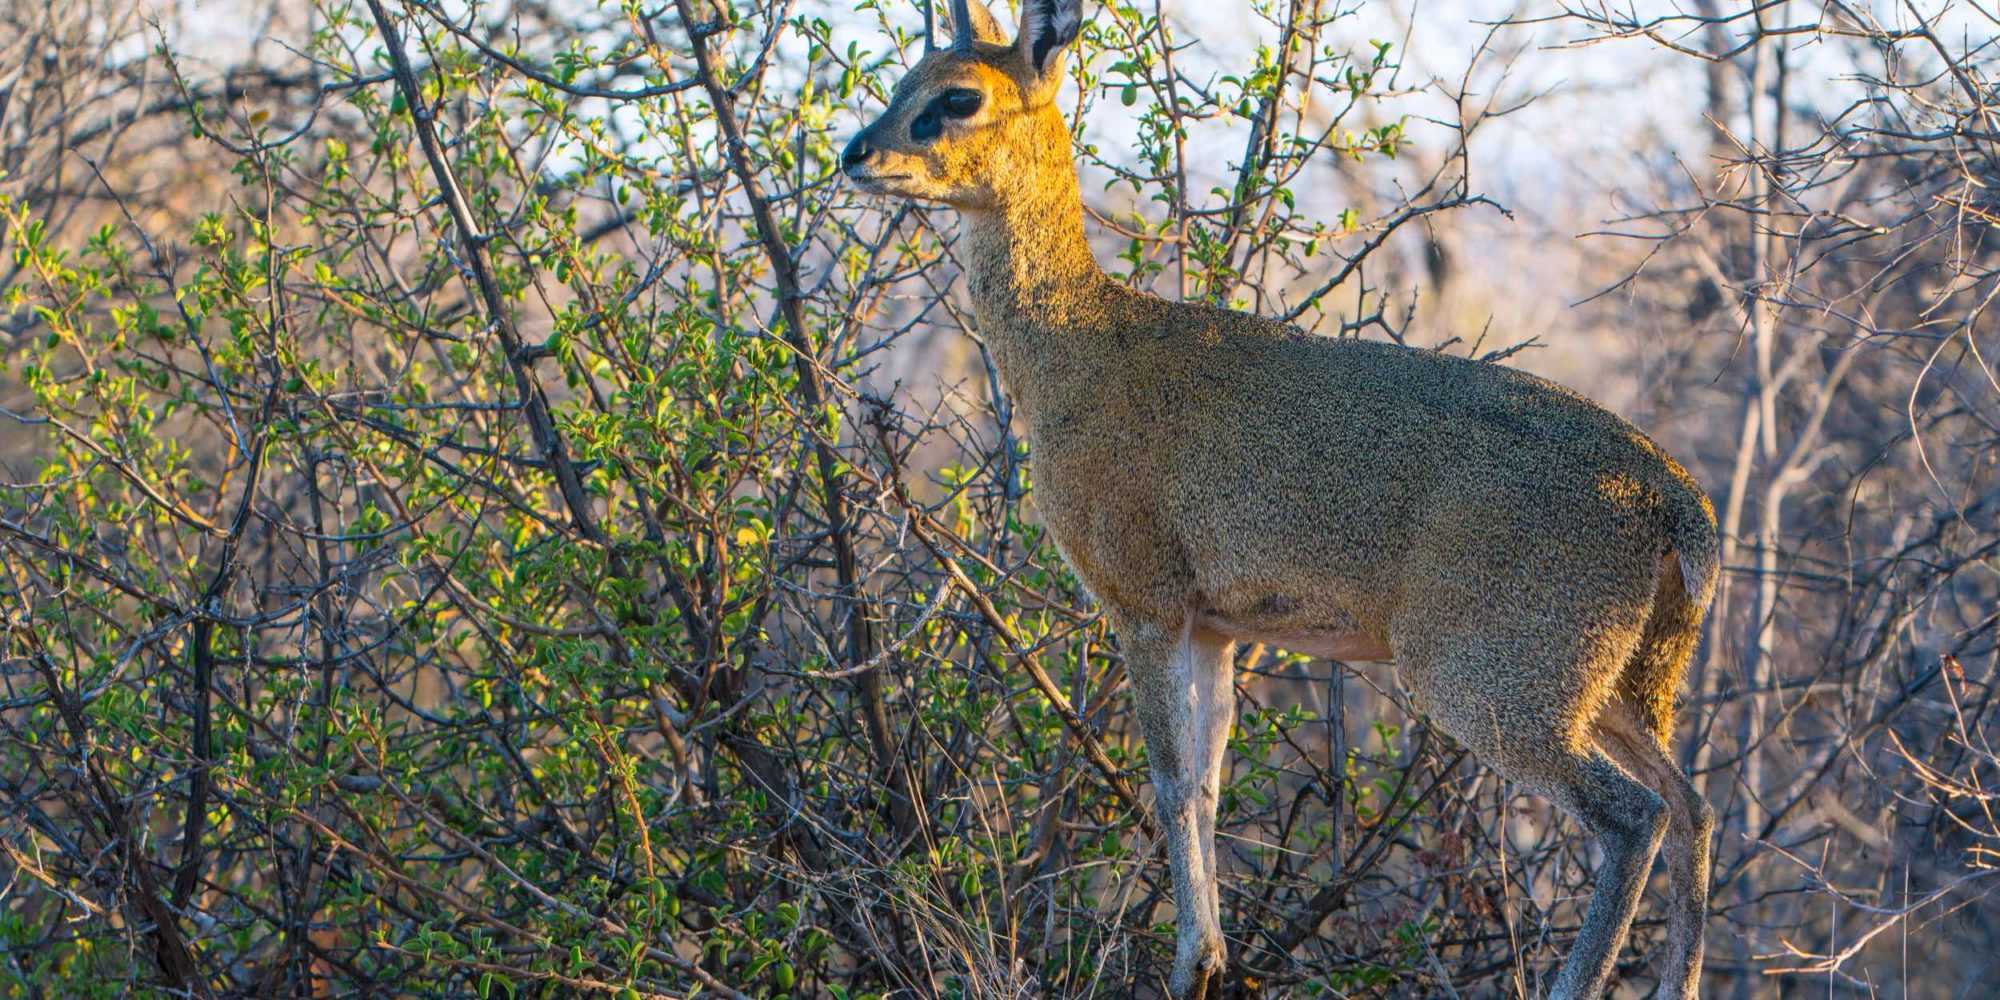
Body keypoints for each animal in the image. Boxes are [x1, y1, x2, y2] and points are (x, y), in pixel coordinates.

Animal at [844, 3, 1720, 996]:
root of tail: (1676, 506)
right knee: (1694, 806)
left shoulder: (1144, 597)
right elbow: (1210, 785)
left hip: (1494, 669)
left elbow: (1169, 779)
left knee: (1635, 815)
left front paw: (1191, 964)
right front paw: (1213, 956)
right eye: (907, 77)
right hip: (1627, 679)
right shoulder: (1218, 622)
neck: (1074, 357)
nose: (857, 153)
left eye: (959, 97)